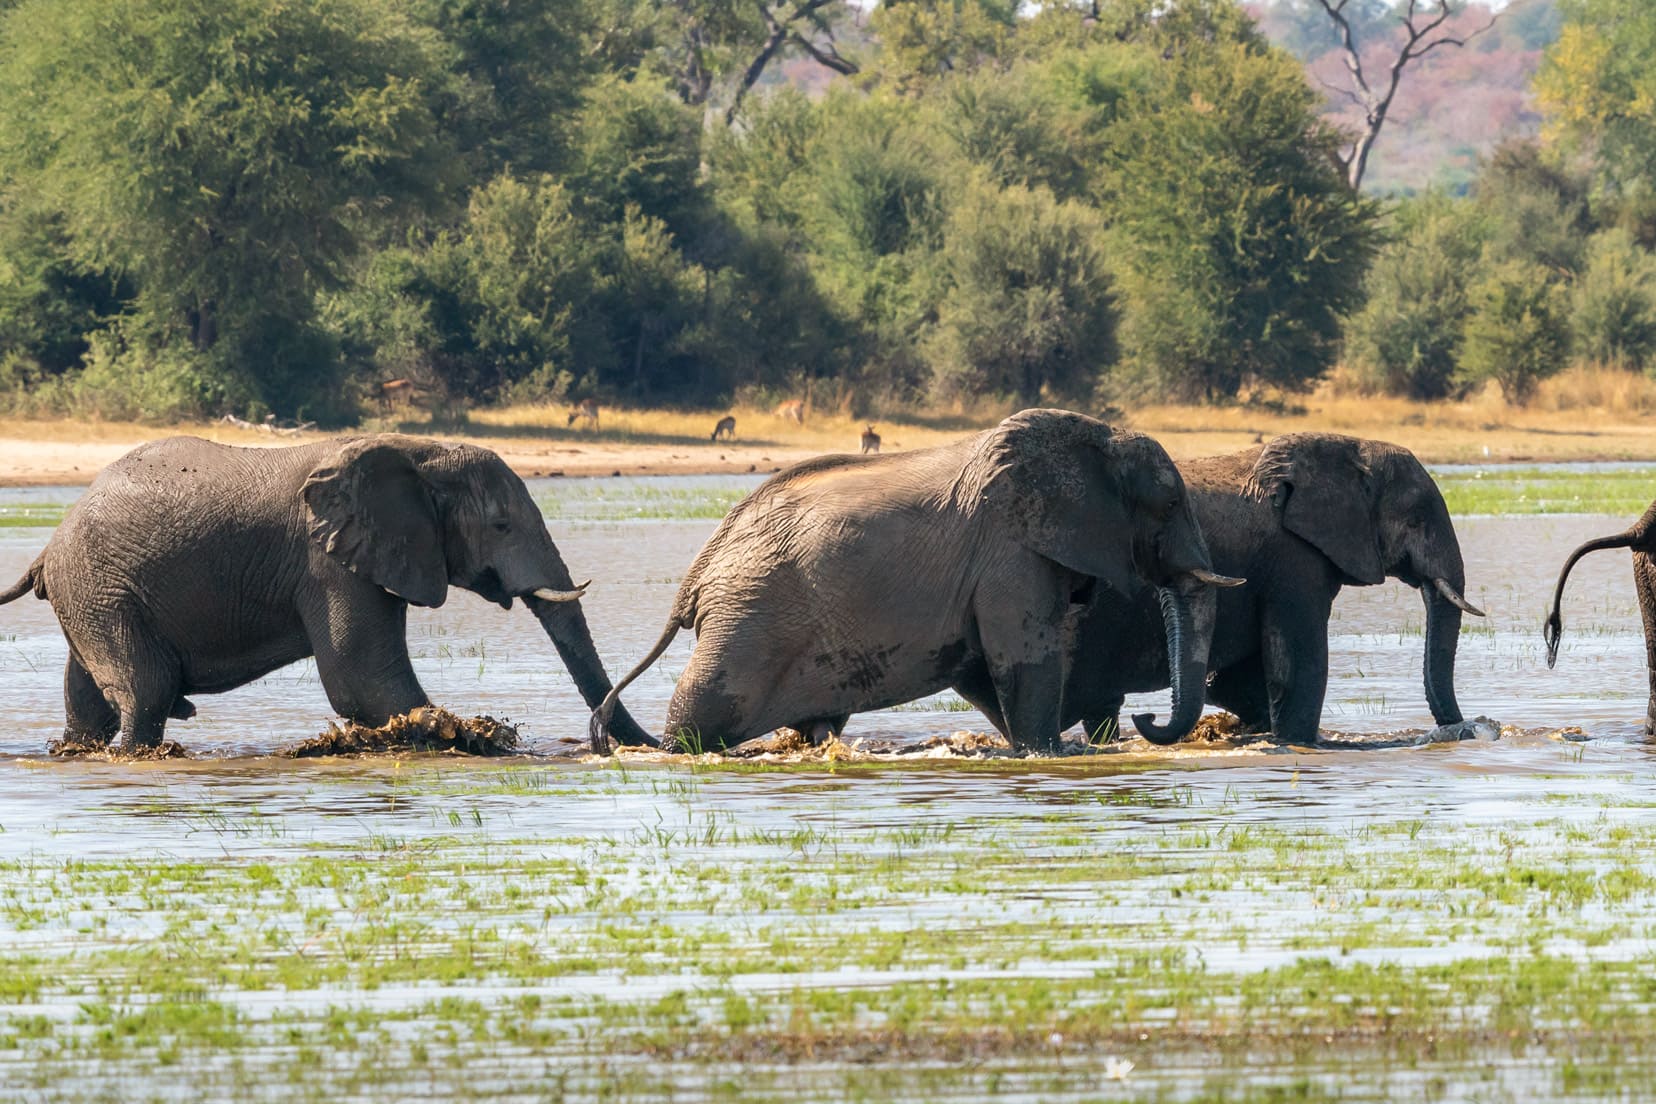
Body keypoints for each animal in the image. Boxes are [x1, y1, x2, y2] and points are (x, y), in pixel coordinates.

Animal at [1, 430, 659, 751]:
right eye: (500, 526)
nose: (600, 742)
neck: (419, 450)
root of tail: (49, 549)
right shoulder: (328, 560)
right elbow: (359, 679)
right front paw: (475, 738)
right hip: (102, 587)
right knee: (146, 690)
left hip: (92, 593)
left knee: (89, 701)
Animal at [596, 410, 1245, 754]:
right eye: (1169, 502)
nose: (1146, 721)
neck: (1095, 439)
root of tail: (699, 571)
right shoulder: (1009, 553)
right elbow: (1024, 661)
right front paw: (1051, 753)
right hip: (749, 617)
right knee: (700, 709)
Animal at [947, 430, 1490, 741]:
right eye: (1417, 518)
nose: (1467, 728)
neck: (1346, 447)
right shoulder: (1293, 561)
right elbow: (1299, 662)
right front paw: (1299, 744)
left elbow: (1239, 676)